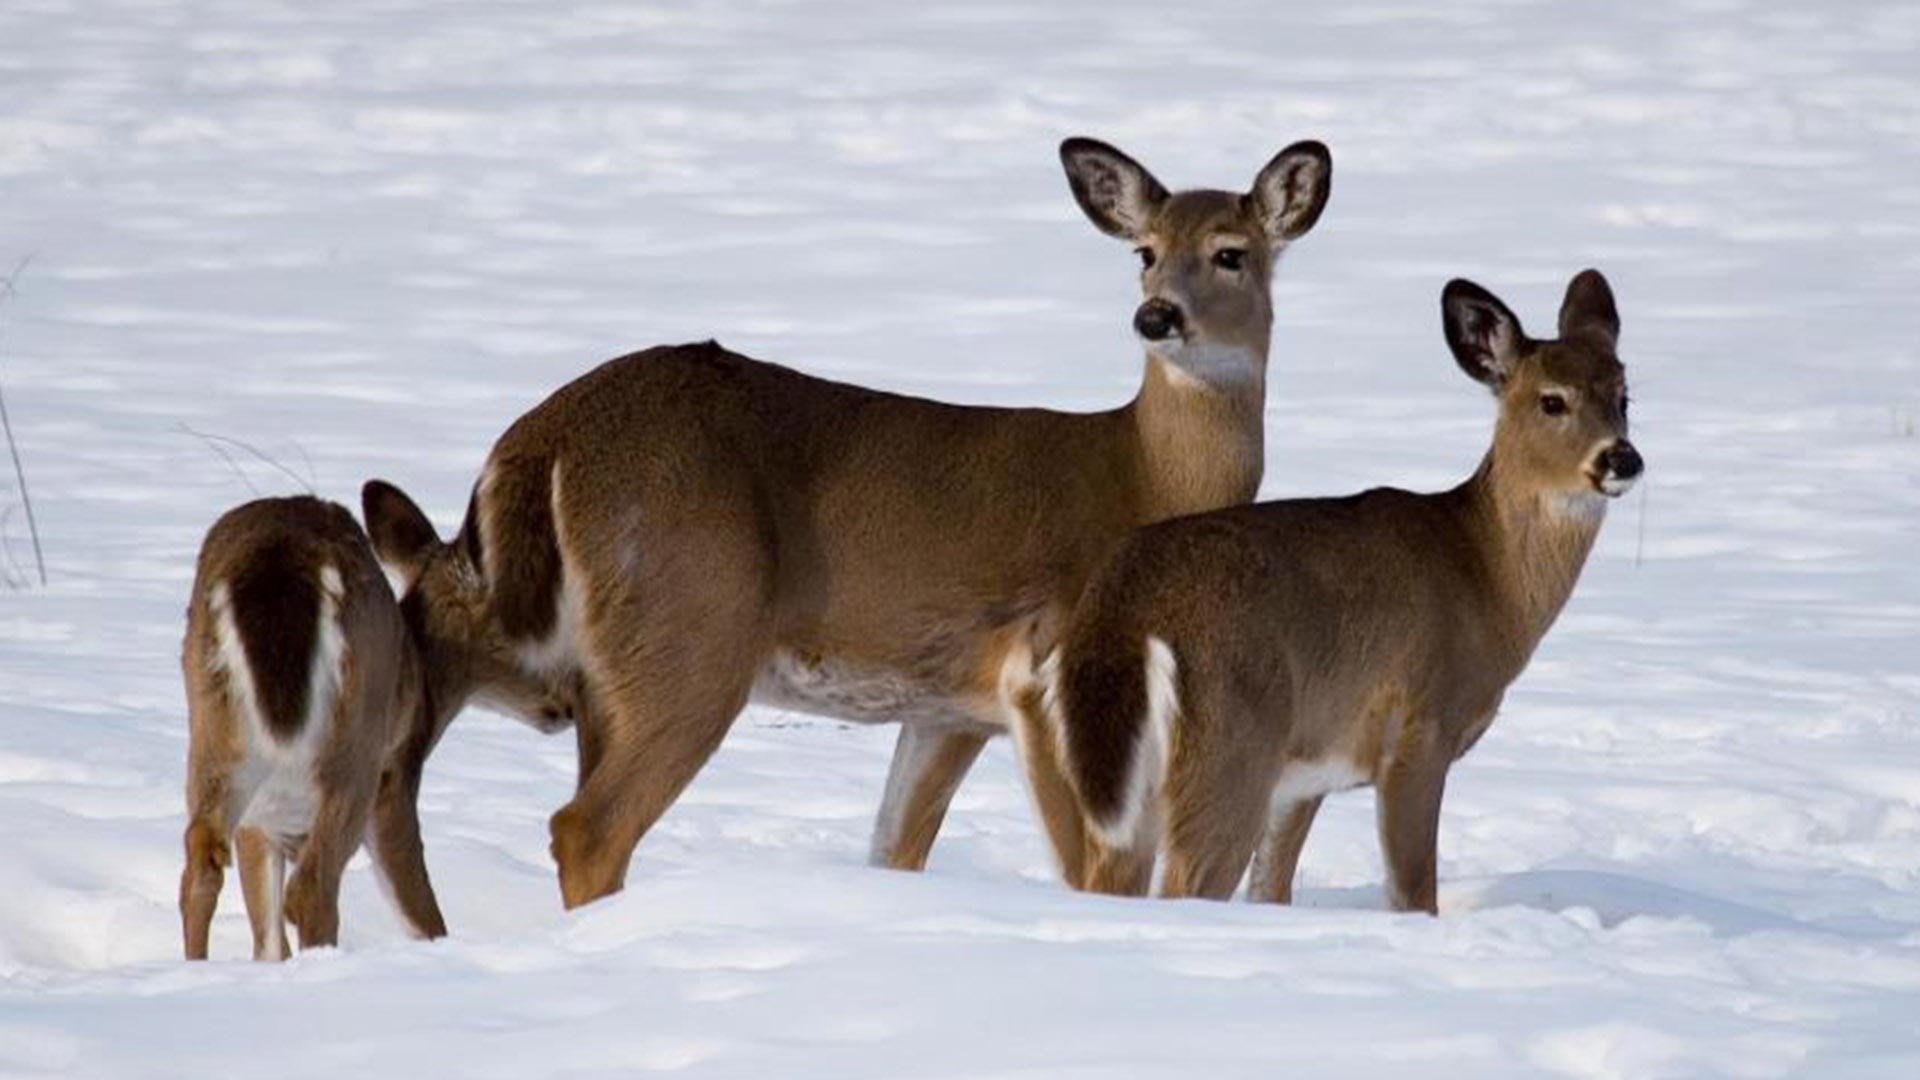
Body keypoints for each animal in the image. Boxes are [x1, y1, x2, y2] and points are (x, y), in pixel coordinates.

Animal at [366, 136, 1344, 907]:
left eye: (1231, 253)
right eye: (1143, 250)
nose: (1156, 315)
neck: (1148, 480)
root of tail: (543, 434)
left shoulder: (949, 708)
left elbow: (894, 849)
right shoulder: (1043, 663)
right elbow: (1095, 873)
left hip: (608, 668)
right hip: (694, 626)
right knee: (585, 826)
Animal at [1006, 269, 1635, 907]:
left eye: (1623, 396)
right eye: (1552, 400)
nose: (1622, 459)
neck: (1485, 577)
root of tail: (1122, 616)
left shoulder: (1306, 775)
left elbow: (1272, 889)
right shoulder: (1417, 728)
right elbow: (1414, 893)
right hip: (1229, 751)